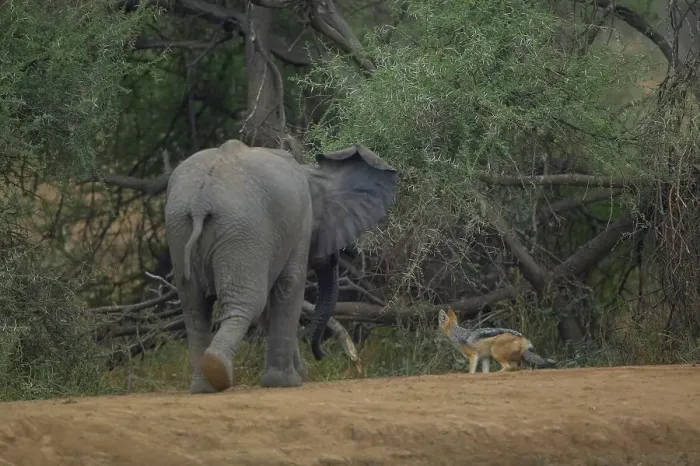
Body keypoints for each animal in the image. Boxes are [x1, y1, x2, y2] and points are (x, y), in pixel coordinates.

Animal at [164, 139, 398, 393]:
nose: (321, 354)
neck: (311, 173)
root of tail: (201, 202)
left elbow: (270, 307)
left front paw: (297, 376)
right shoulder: (298, 227)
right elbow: (289, 288)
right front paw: (288, 382)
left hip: (180, 228)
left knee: (195, 308)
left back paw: (204, 386)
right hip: (242, 232)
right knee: (246, 303)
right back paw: (219, 371)